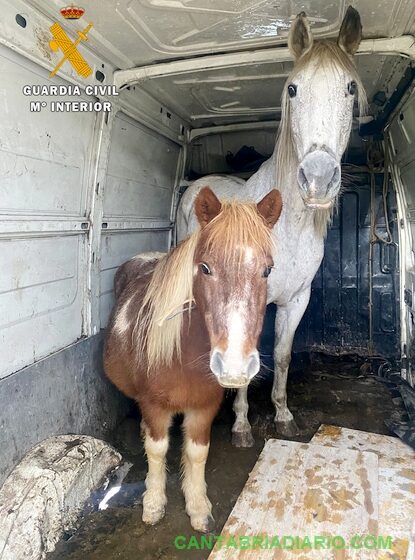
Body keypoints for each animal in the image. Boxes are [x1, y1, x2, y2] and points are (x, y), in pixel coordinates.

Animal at [105, 187, 284, 528]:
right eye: (205, 268)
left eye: (268, 270)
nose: (234, 366)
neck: (181, 358)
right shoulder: (154, 406)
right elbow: (157, 450)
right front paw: (153, 503)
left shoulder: (204, 407)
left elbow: (197, 452)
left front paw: (198, 506)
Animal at [177, 6, 366, 446]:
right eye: (293, 89)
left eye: (350, 88)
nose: (318, 179)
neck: (287, 228)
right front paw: (242, 425)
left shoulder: (296, 300)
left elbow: (280, 355)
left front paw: (282, 415)